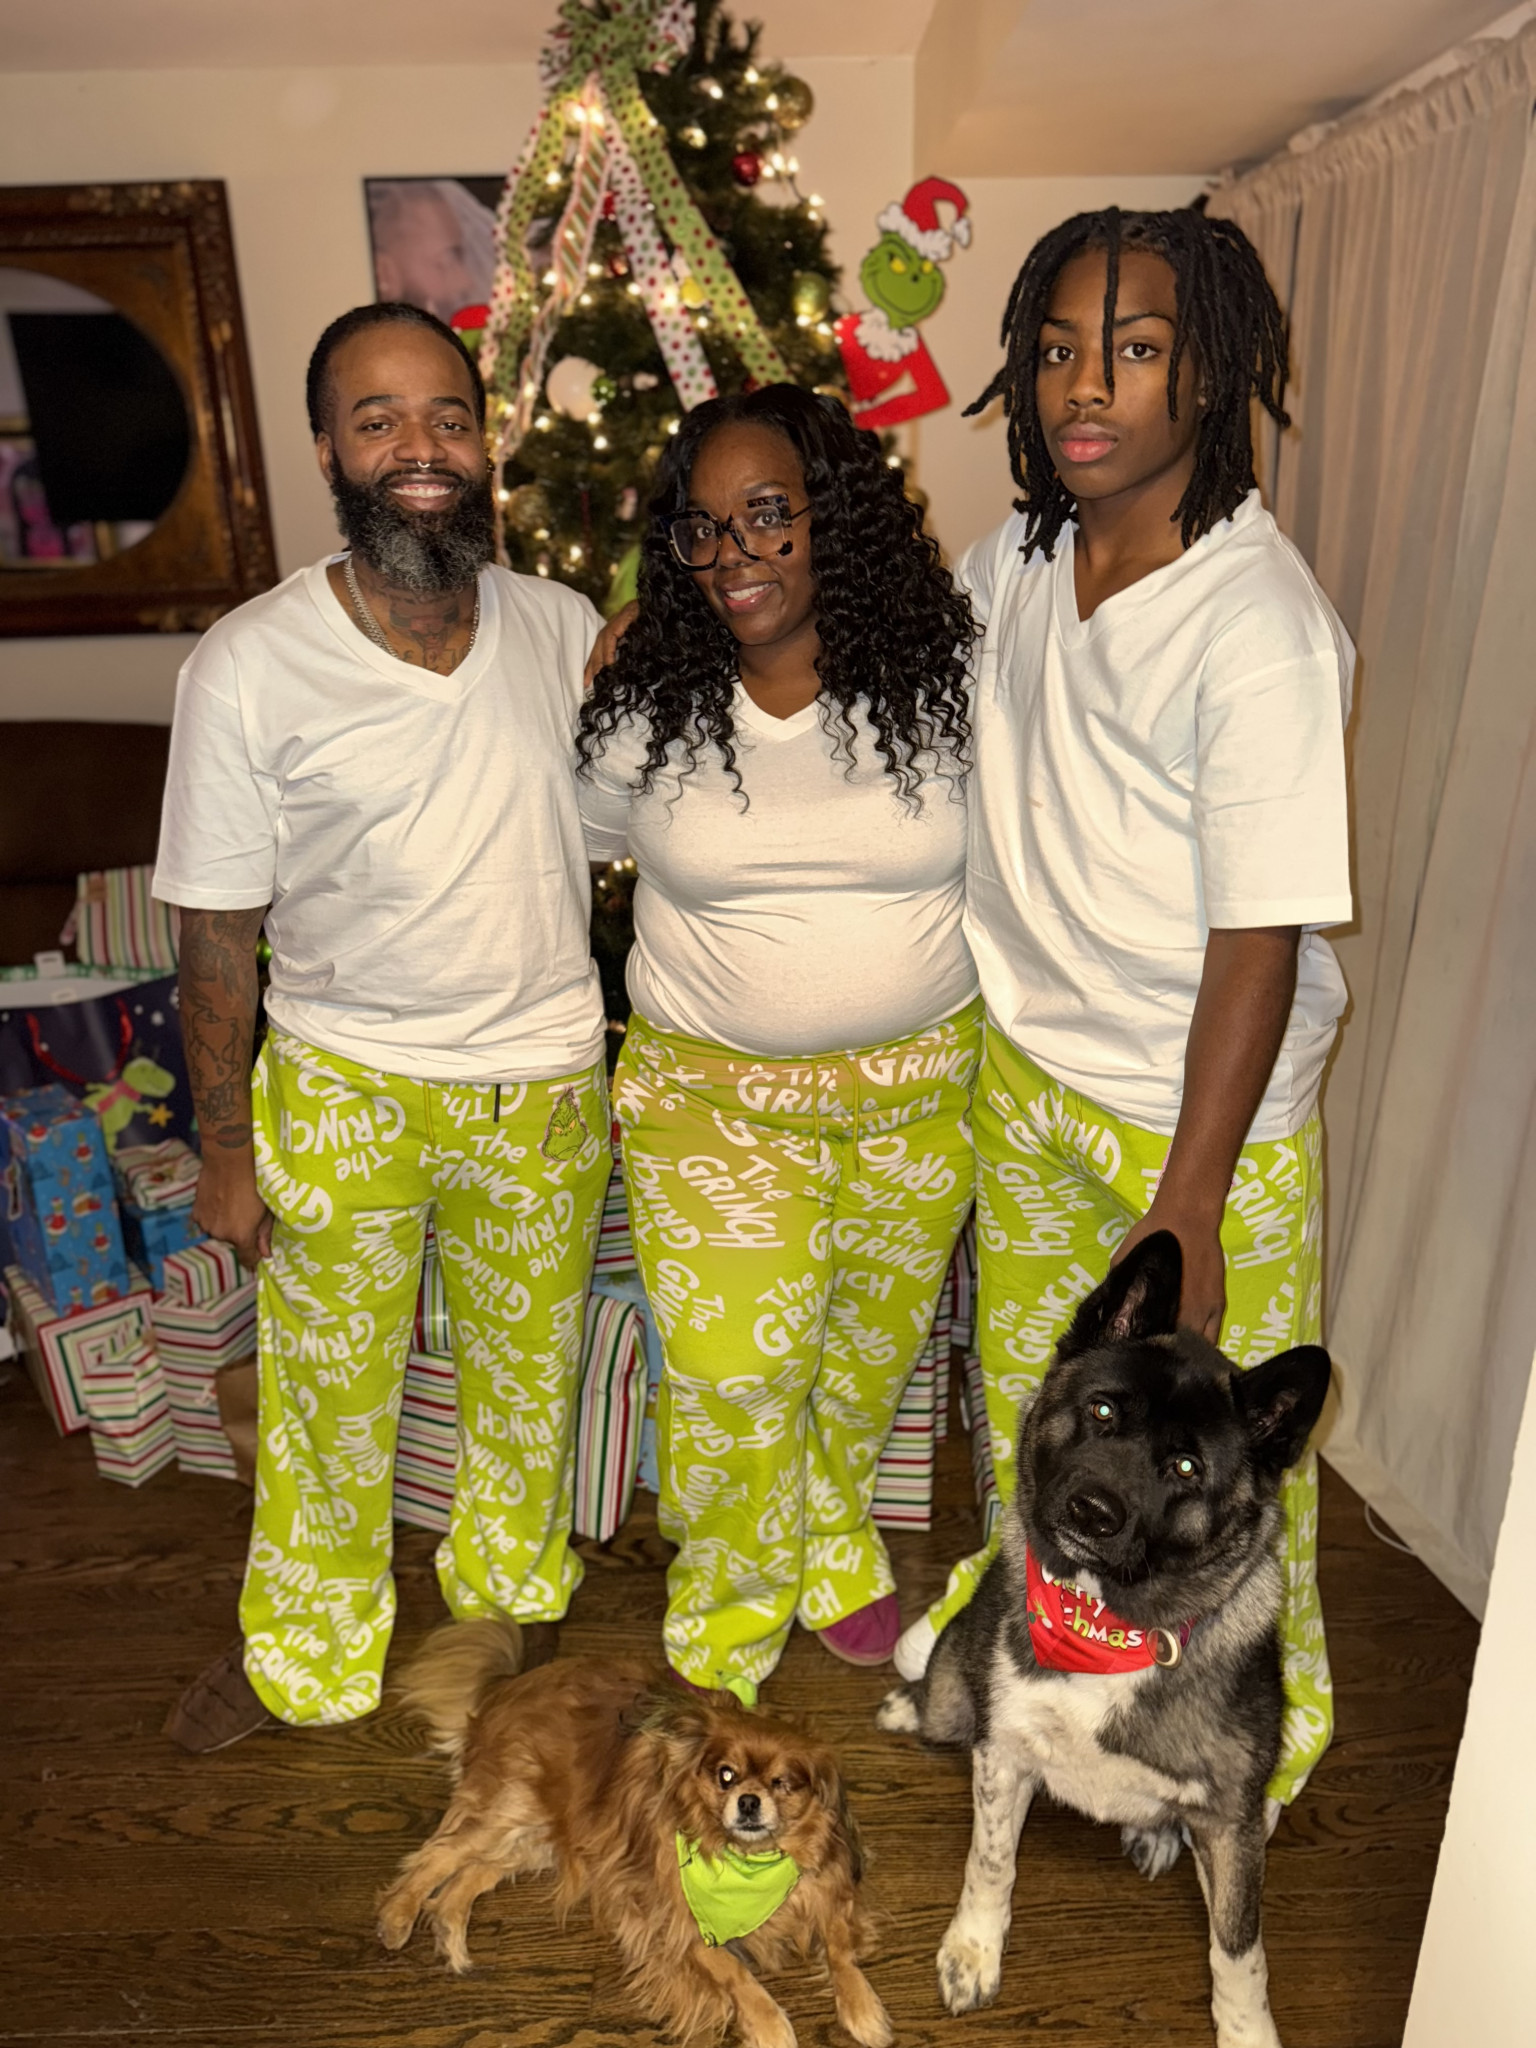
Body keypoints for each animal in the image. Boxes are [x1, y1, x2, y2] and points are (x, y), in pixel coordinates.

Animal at [378, 1621, 891, 2048]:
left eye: (781, 1784)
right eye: (725, 1776)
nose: (748, 1801)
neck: (749, 1862)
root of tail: (510, 1685)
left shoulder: (828, 1891)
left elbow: (840, 1949)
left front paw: (864, 2010)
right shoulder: (683, 1927)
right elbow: (737, 1976)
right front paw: (772, 2028)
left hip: (539, 1838)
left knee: (468, 1877)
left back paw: (450, 1933)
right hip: (513, 1810)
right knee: (437, 1855)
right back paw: (397, 1918)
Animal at [877, 1230, 1330, 2048]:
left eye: (1185, 1466)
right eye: (1102, 1409)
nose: (1092, 1511)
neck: (1108, 1627)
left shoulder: (1235, 1821)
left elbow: (1239, 1951)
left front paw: (1246, 2029)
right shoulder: (1003, 1757)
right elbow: (991, 1864)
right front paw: (974, 1950)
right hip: (958, 1703)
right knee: (943, 1699)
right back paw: (910, 1704)